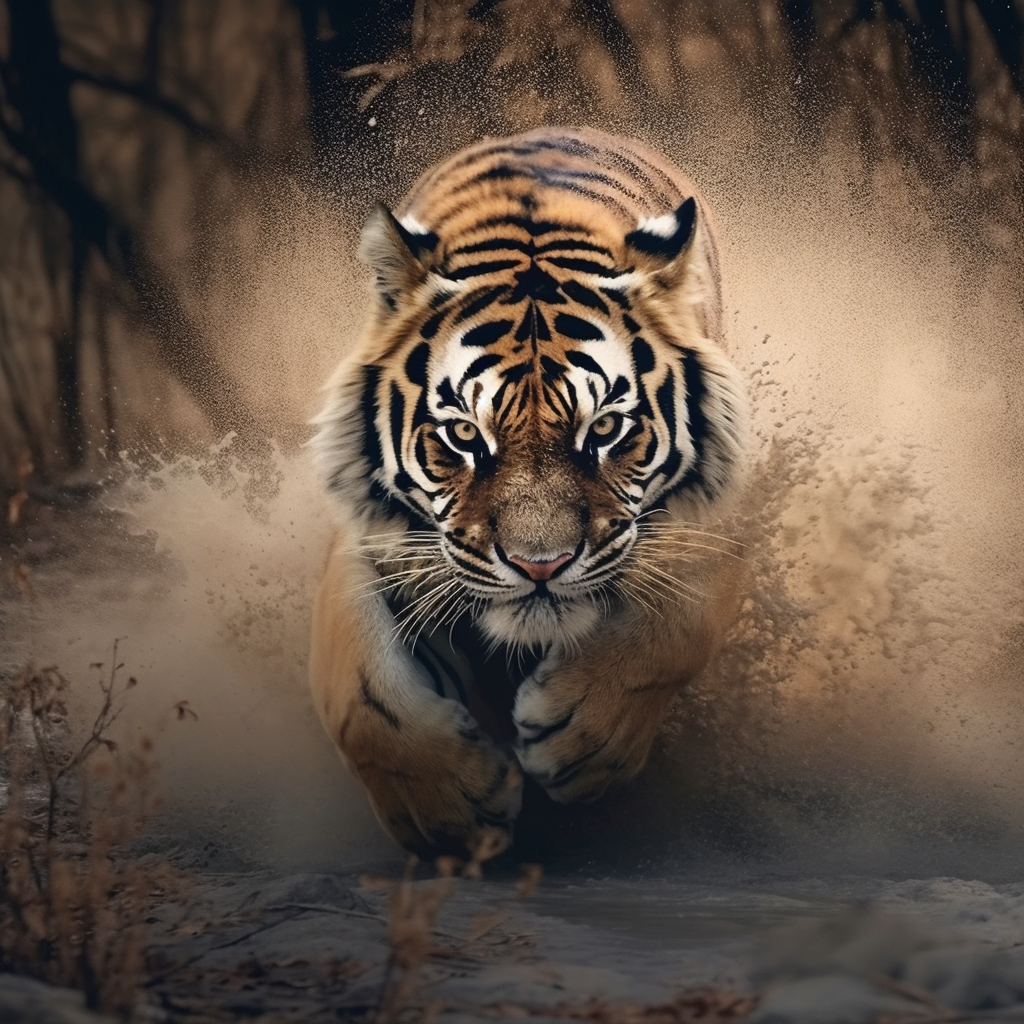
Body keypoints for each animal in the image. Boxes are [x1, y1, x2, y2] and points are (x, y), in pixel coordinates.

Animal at [309, 126, 748, 857]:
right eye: (463, 433)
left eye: (604, 428)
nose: (539, 566)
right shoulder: (366, 537)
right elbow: (358, 697)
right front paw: (450, 817)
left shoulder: (716, 519)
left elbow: (675, 628)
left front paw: (579, 742)